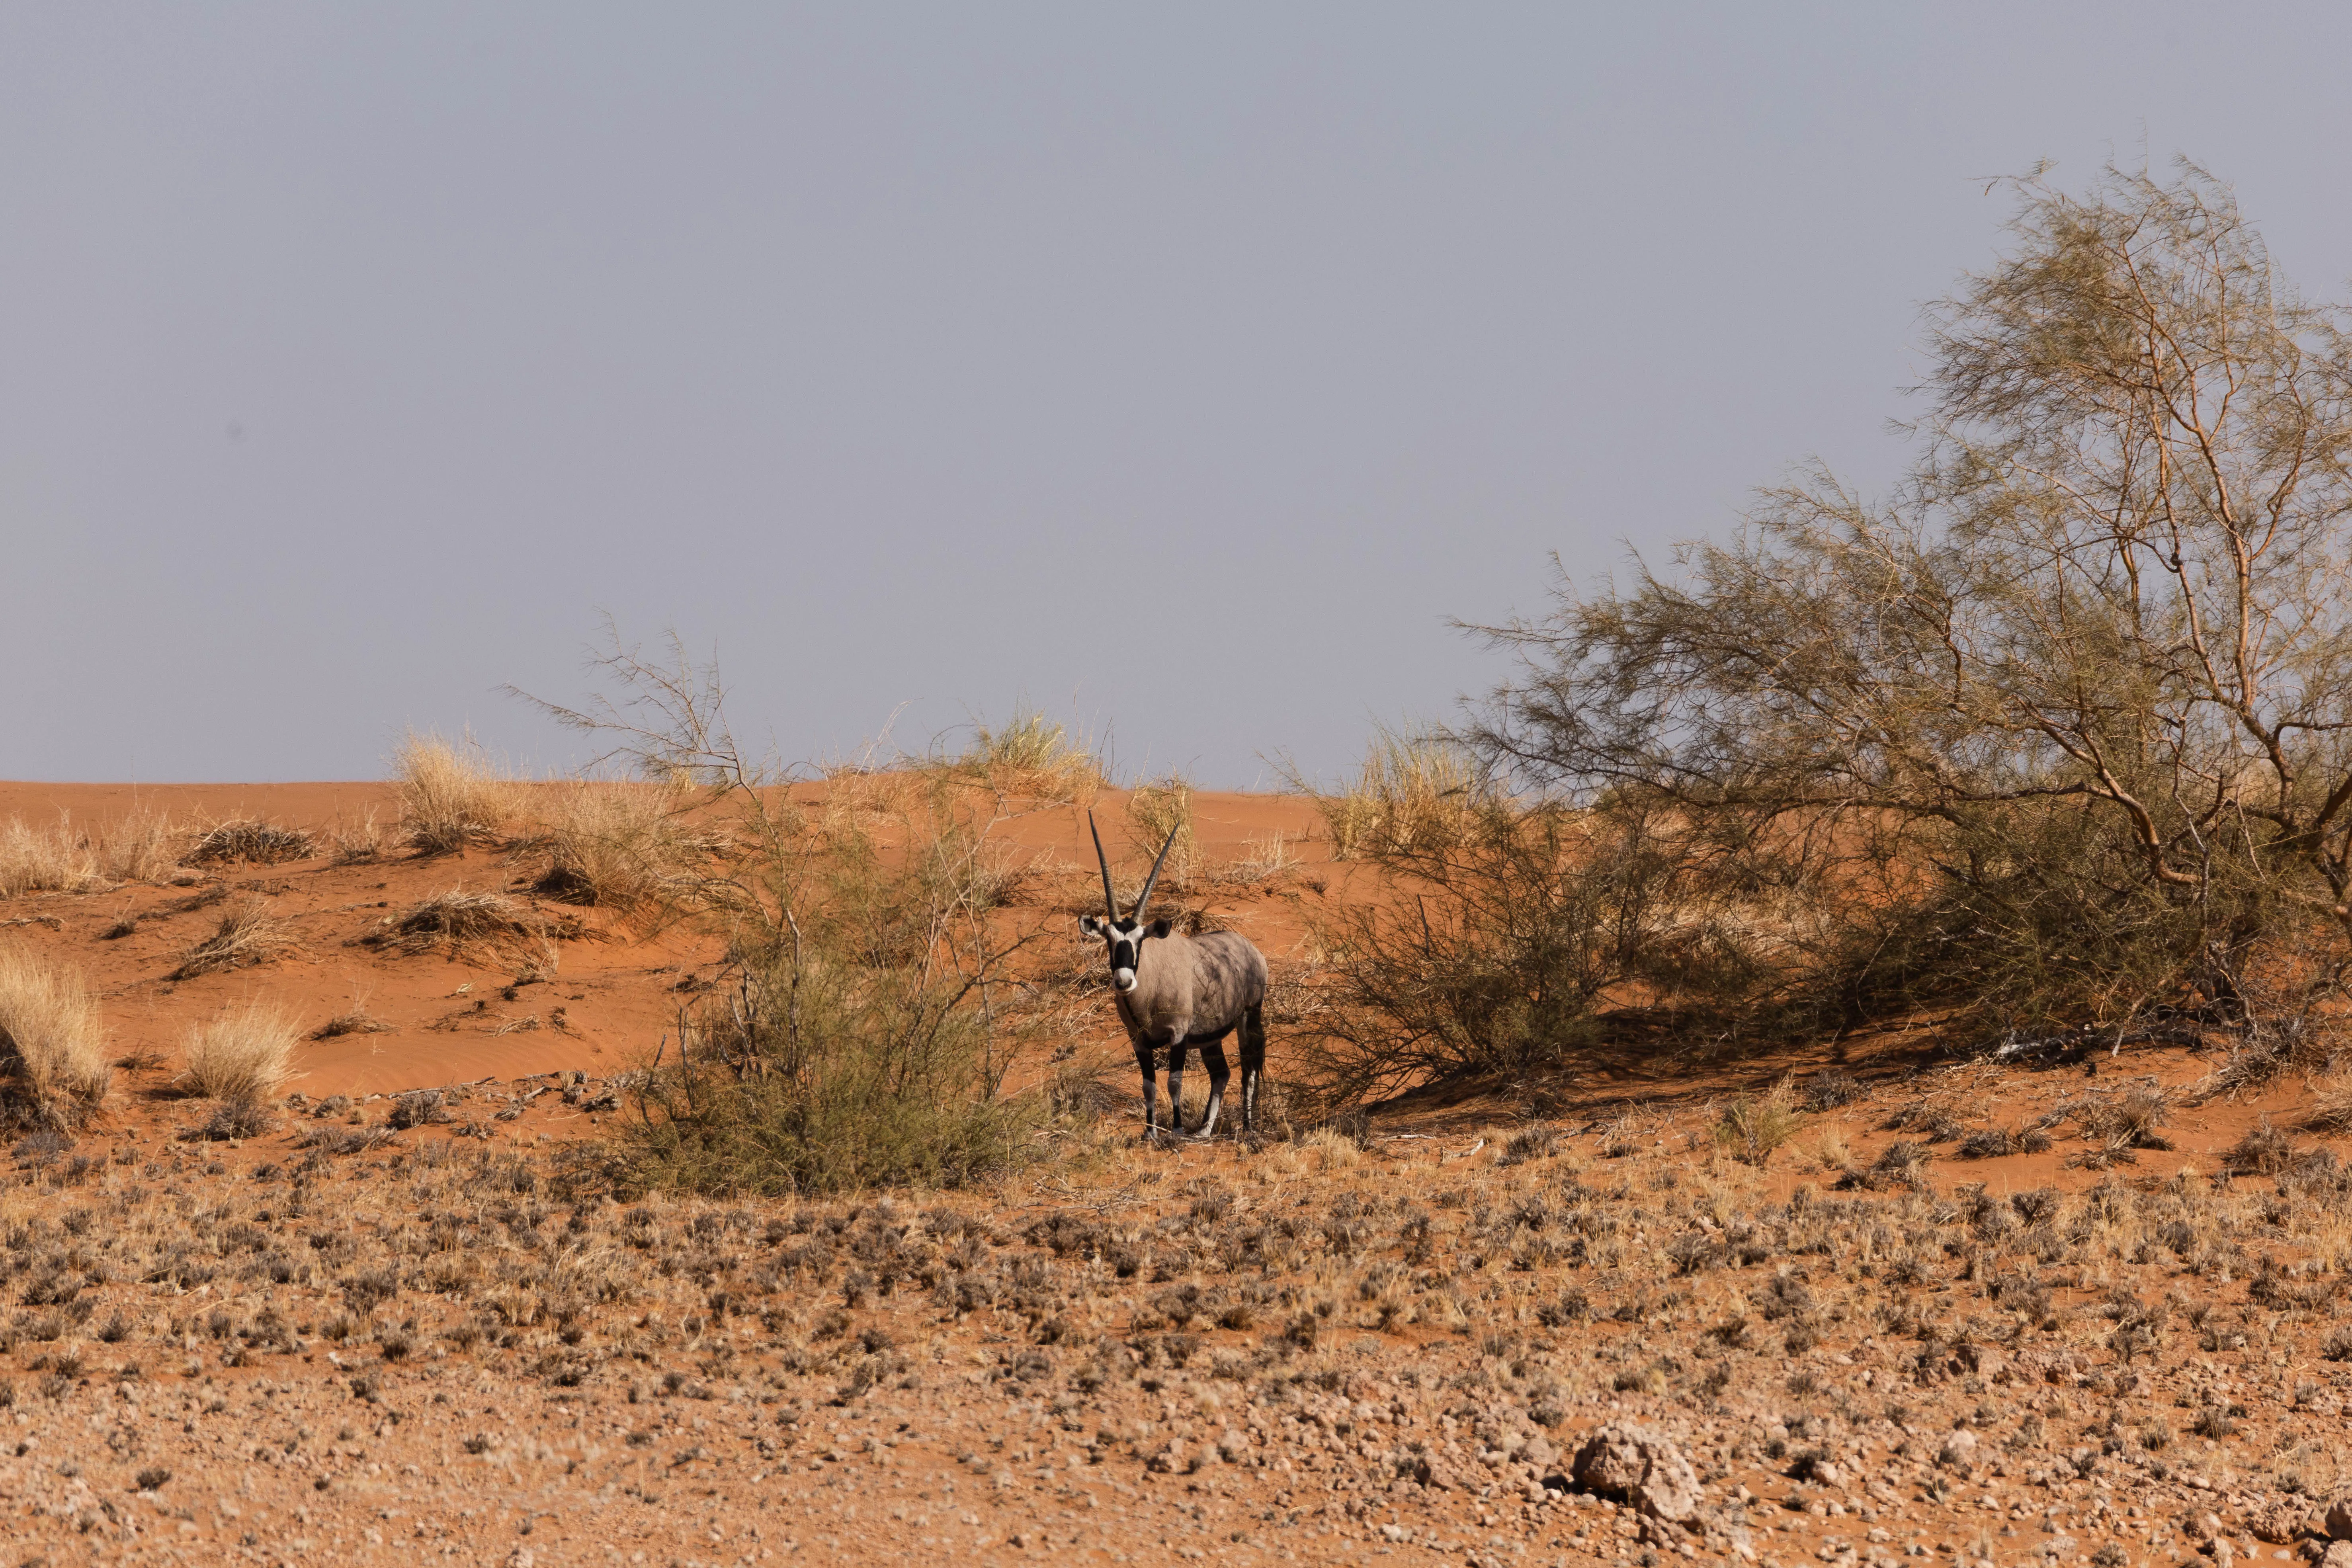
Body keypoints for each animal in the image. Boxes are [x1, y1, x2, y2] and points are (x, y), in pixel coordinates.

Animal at [1077, 808, 1270, 1142]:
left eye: (1140, 940)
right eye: (1109, 940)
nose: (1124, 982)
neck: (1149, 991)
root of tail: (1252, 950)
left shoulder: (1178, 1035)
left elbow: (1174, 1082)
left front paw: (1176, 1129)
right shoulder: (1139, 1042)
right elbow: (1149, 1087)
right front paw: (1149, 1133)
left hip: (1249, 1016)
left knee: (1248, 1067)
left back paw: (1246, 1127)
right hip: (1209, 1037)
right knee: (1222, 1073)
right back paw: (1204, 1130)